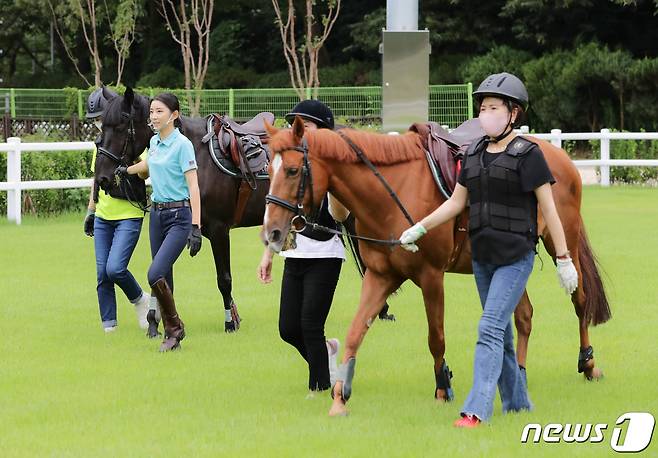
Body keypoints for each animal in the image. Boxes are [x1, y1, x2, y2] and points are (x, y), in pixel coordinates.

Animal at [91, 87, 390, 332]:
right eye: (102, 127)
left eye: (121, 125)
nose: (102, 177)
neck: (199, 157)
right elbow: (162, 274)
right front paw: (155, 322)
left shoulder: (219, 229)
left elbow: (223, 278)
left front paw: (230, 321)